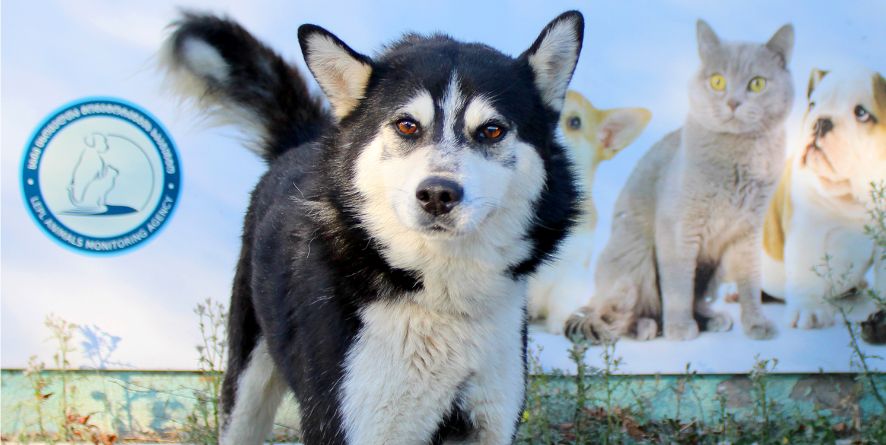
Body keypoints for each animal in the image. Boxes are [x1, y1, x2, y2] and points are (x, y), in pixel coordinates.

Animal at [164, 10, 588, 444]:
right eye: (407, 126)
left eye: (491, 130)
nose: (437, 194)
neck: (441, 298)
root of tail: (303, 143)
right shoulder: (346, 424)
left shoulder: (491, 423)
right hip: (246, 390)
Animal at [564, 20, 796, 340]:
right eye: (717, 82)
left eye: (757, 84)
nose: (733, 102)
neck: (739, 160)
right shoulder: (678, 229)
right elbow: (678, 285)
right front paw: (680, 328)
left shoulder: (747, 232)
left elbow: (750, 283)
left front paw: (756, 323)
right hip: (635, 256)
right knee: (625, 310)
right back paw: (648, 326)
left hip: (716, 267)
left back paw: (709, 319)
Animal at [764, 67, 886, 330]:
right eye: (812, 105)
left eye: (861, 113)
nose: (821, 121)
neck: (853, 197)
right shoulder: (806, 233)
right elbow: (806, 274)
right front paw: (809, 310)